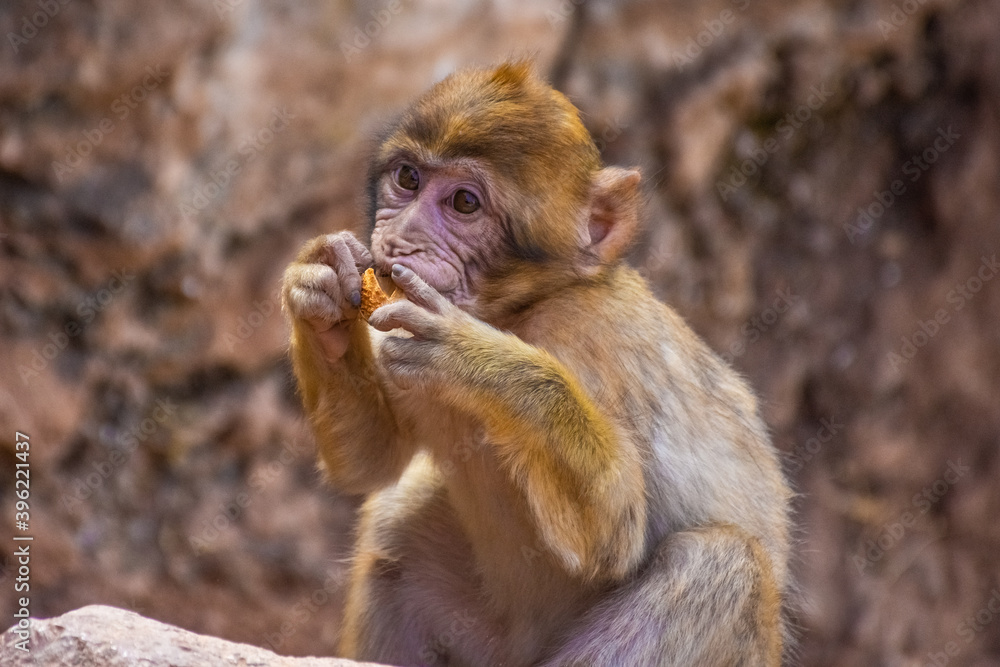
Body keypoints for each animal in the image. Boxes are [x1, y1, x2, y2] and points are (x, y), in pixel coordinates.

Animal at [281, 61, 792, 666]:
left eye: (464, 204)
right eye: (407, 178)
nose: (400, 238)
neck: (517, 310)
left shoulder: (586, 333)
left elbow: (613, 533)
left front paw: (478, 359)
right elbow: (373, 460)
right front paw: (318, 290)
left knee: (721, 564)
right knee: (396, 529)